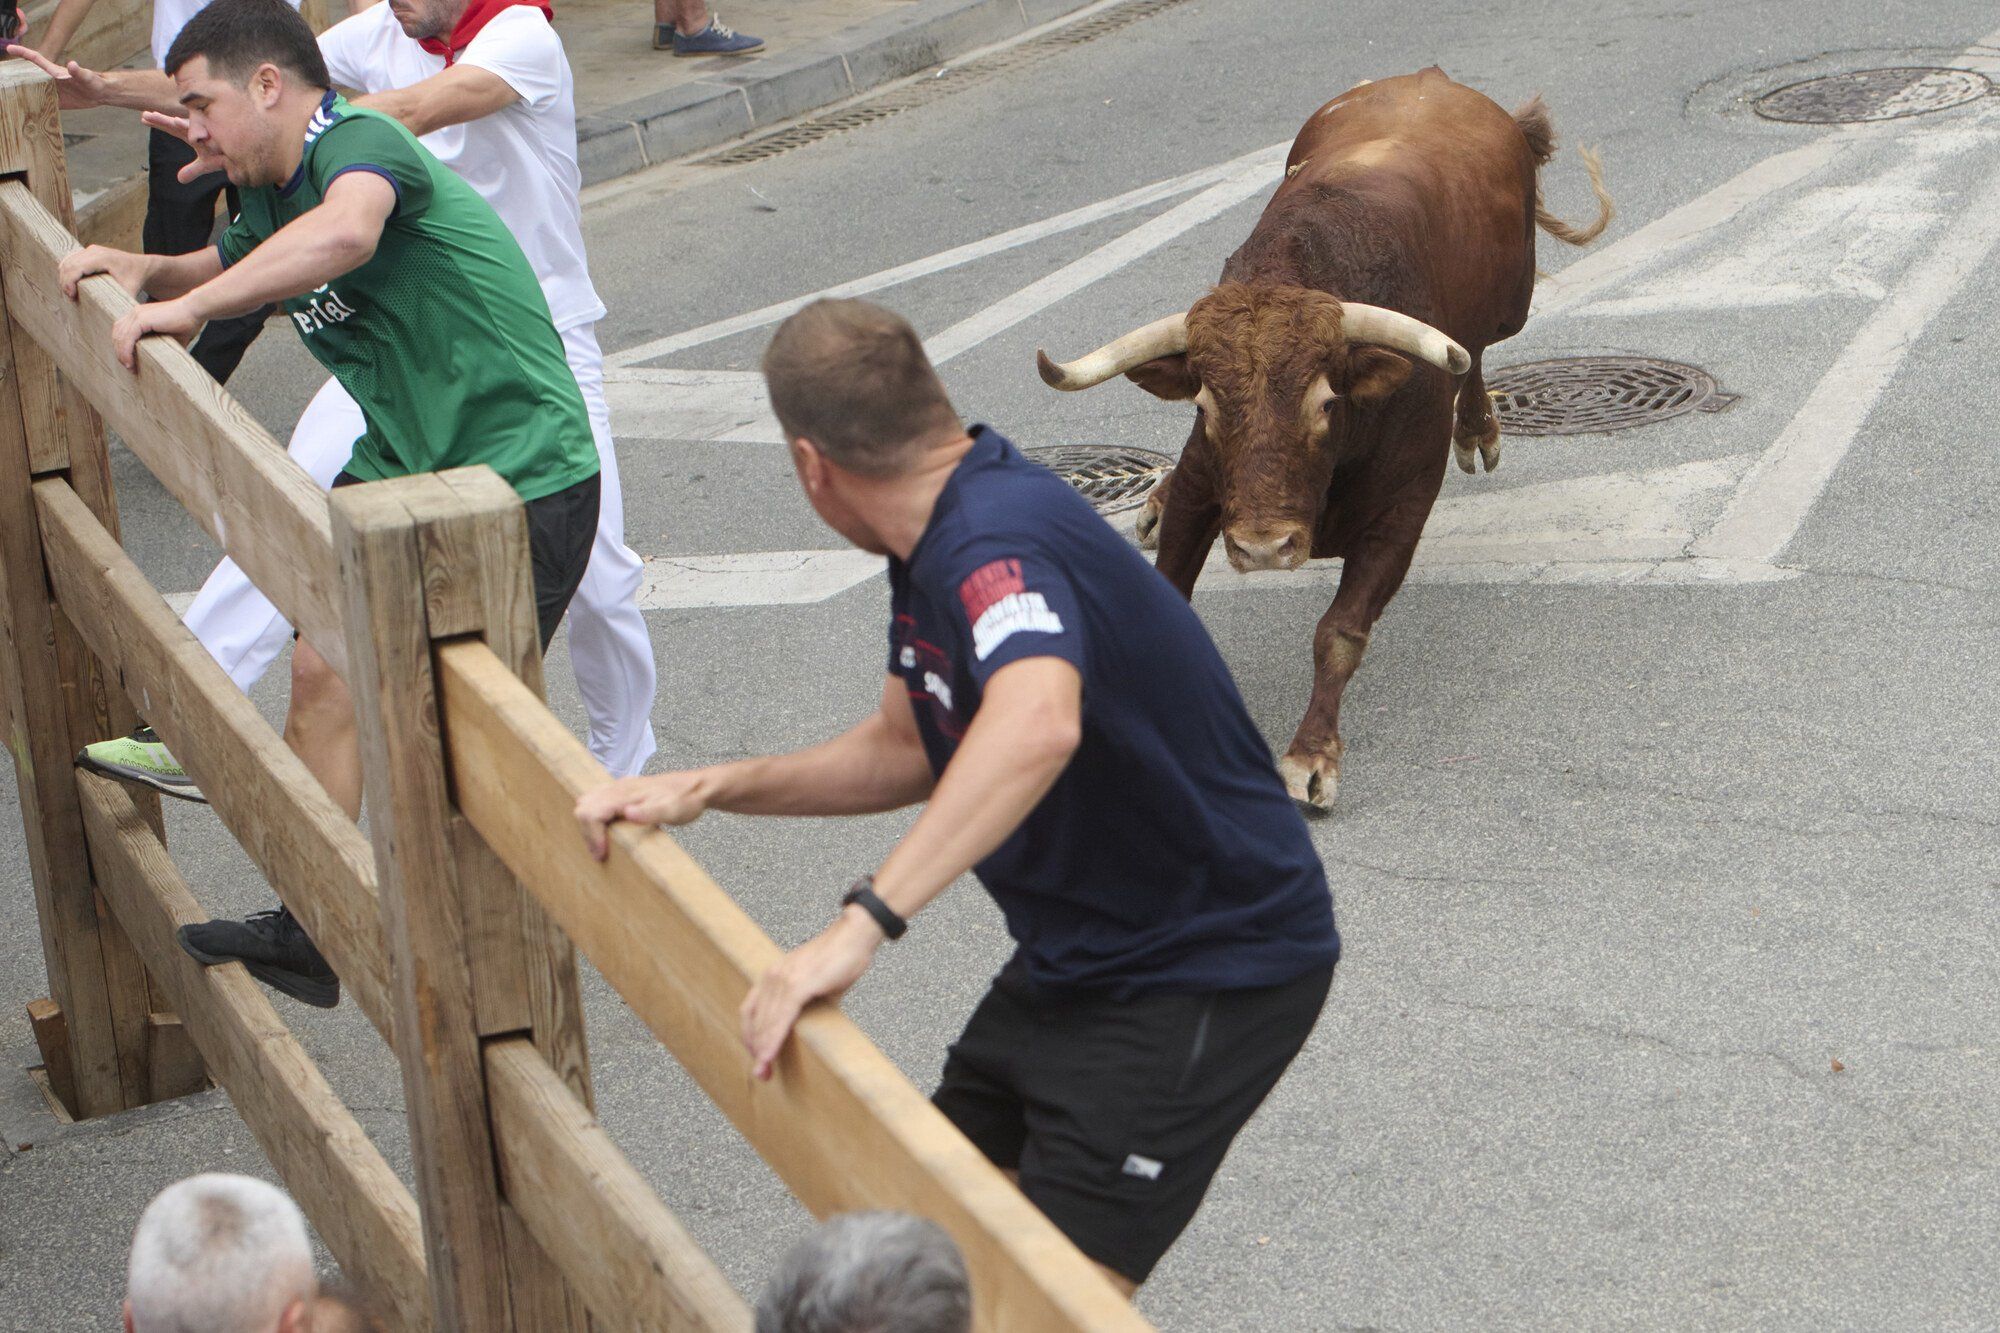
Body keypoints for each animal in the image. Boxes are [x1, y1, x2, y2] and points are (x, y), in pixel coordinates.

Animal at [1035, 68, 1612, 808]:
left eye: (1325, 402)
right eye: (1205, 402)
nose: (1262, 547)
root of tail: (1434, 80)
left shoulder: (1401, 508)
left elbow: (1339, 632)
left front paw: (1311, 756)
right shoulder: (1203, 481)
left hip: (1510, 305)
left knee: (1477, 349)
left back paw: (1478, 426)